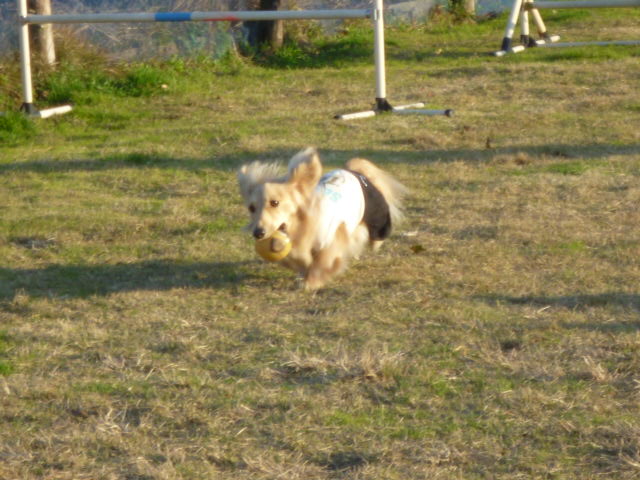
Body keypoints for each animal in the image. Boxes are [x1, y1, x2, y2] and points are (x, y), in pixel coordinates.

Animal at [237, 147, 406, 290]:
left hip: (377, 216)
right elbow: (298, 260)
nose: (258, 233)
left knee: (376, 234)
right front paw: (304, 272)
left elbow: (323, 262)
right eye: (251, 208)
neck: (301, 227)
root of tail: (353, 170)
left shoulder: (332, 238)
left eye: (275, 202)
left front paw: (311, 282)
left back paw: (375, 243)